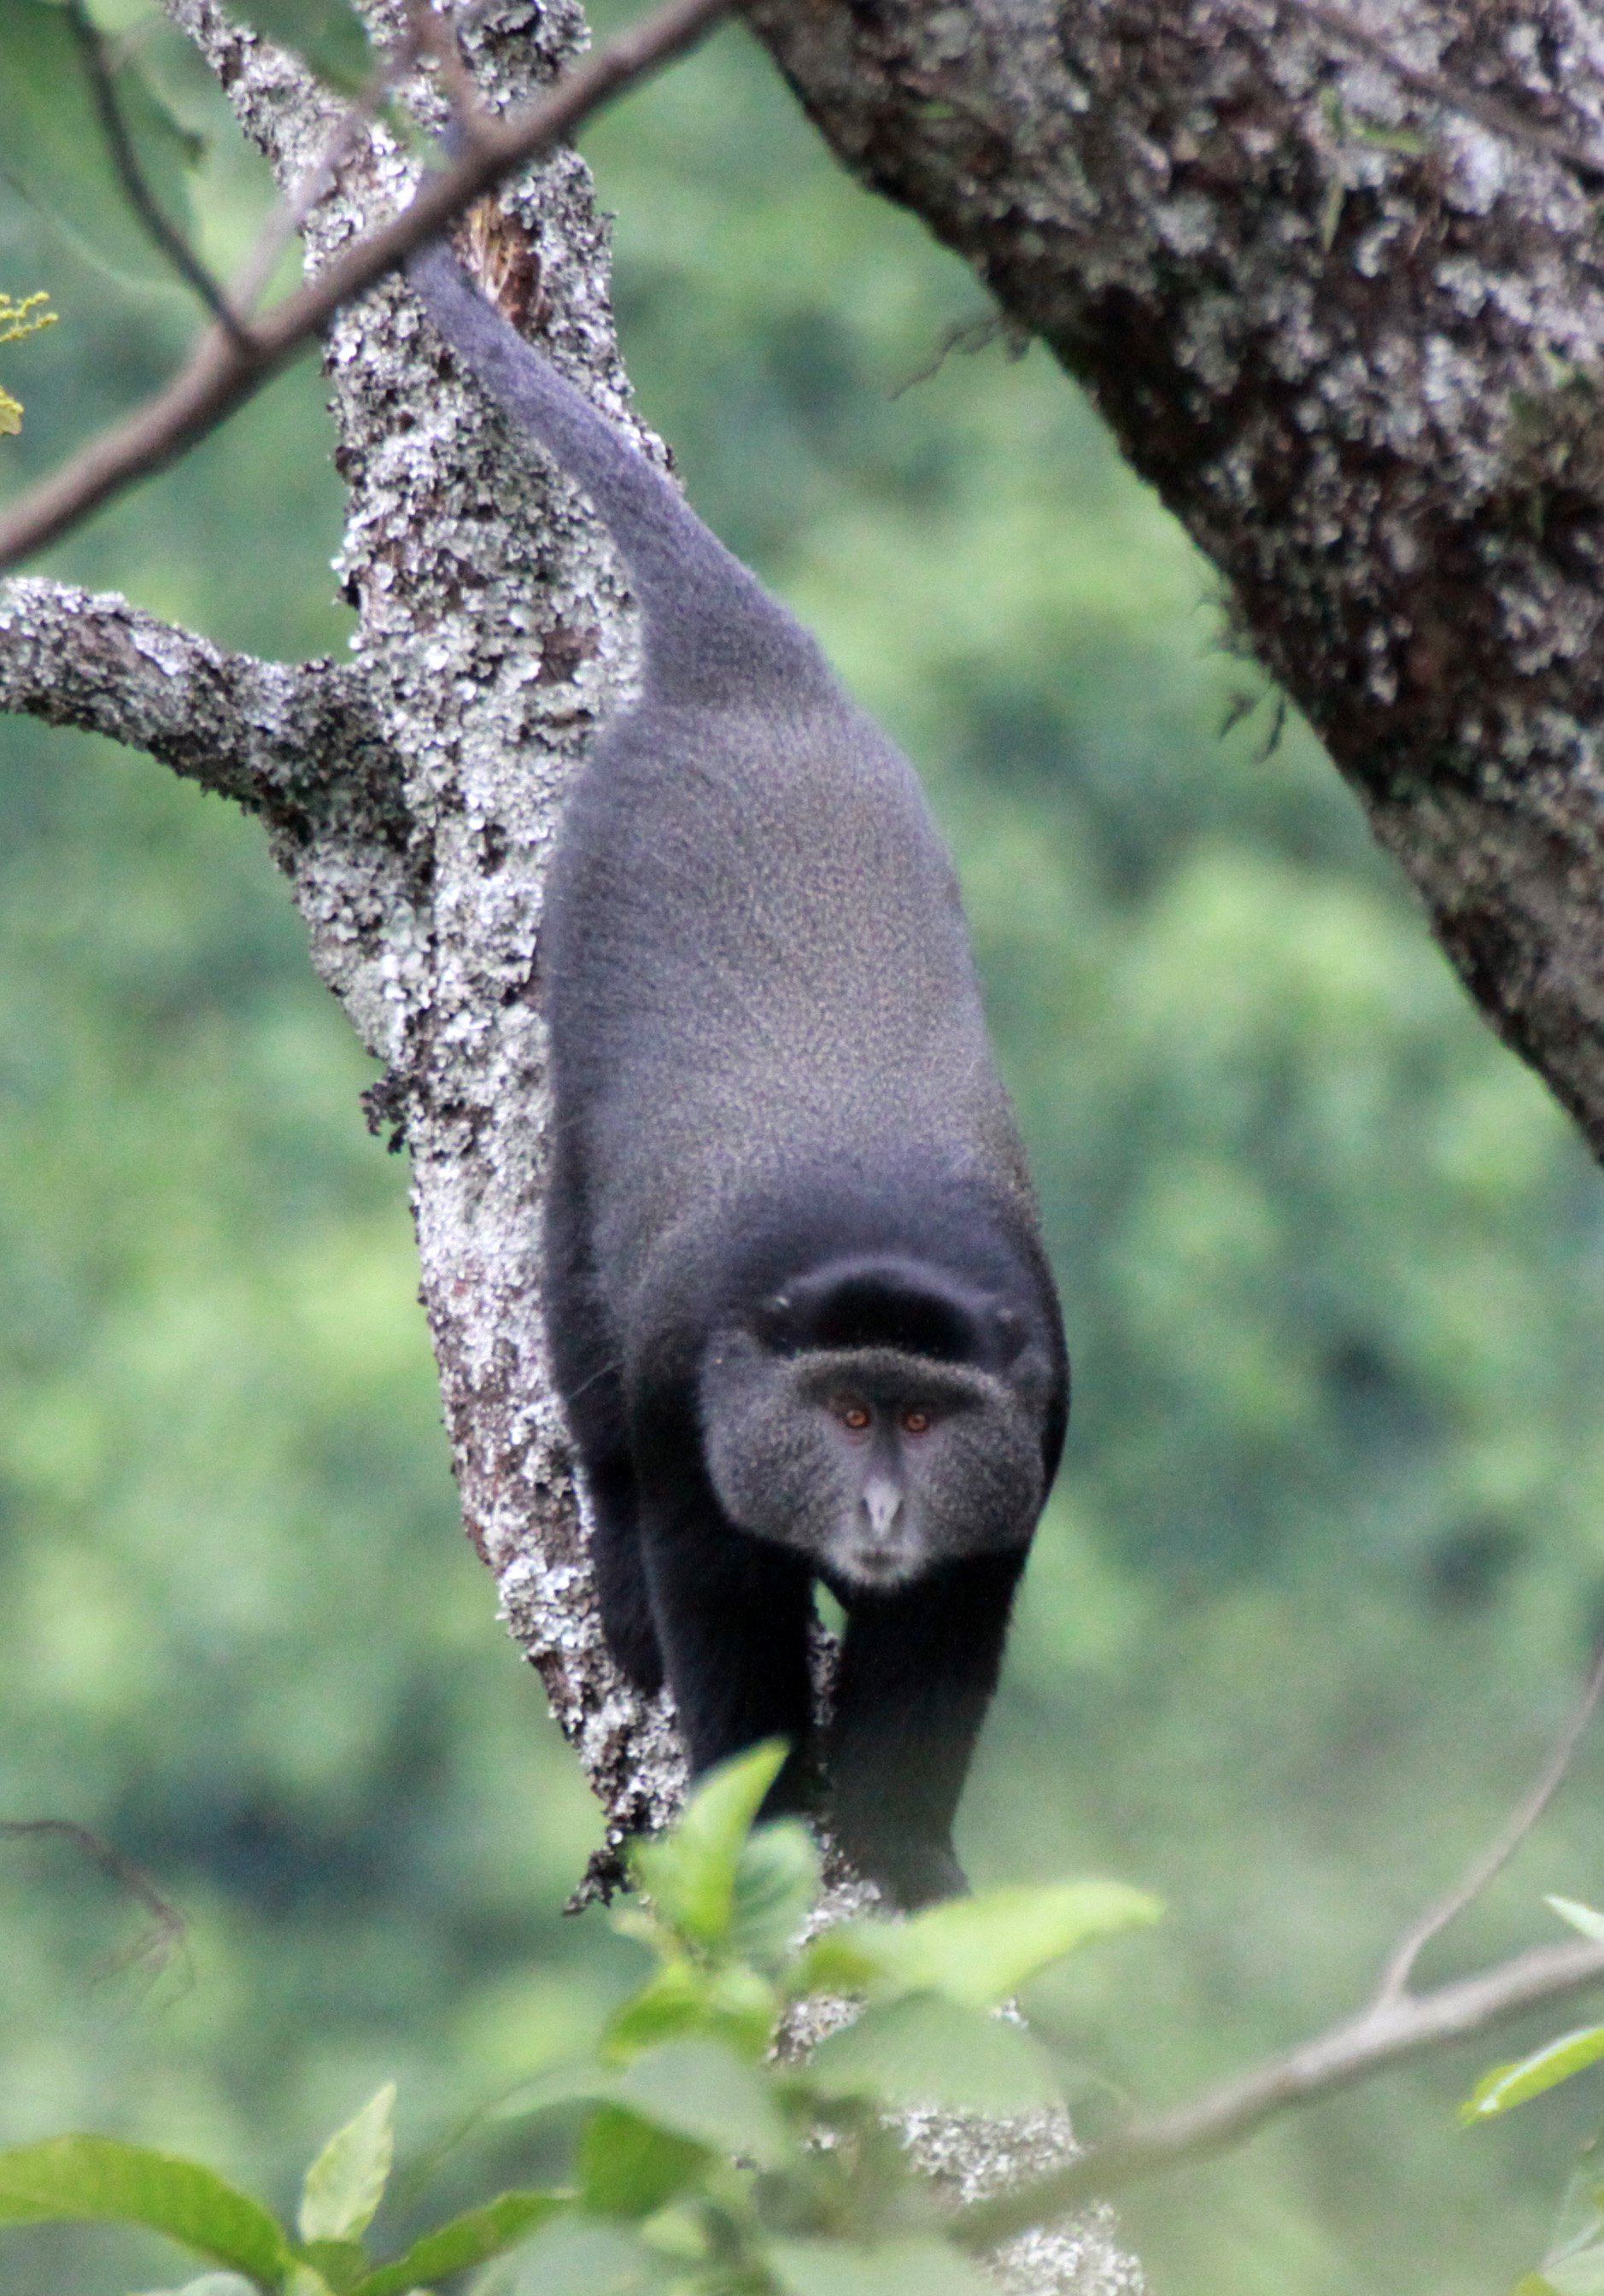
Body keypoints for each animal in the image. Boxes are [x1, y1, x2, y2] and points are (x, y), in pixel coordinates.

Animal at [407, 230, 1068, 1909]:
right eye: (846, 1417)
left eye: (918, 1420)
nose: (883, 1506)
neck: (866, 1230)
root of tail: (744, 684)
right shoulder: (690, 1393)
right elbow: (719, 1612)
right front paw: (758, 1837)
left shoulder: (1029, 1422)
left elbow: (948, 1635)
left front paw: (906, 1854)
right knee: (581, 1359)